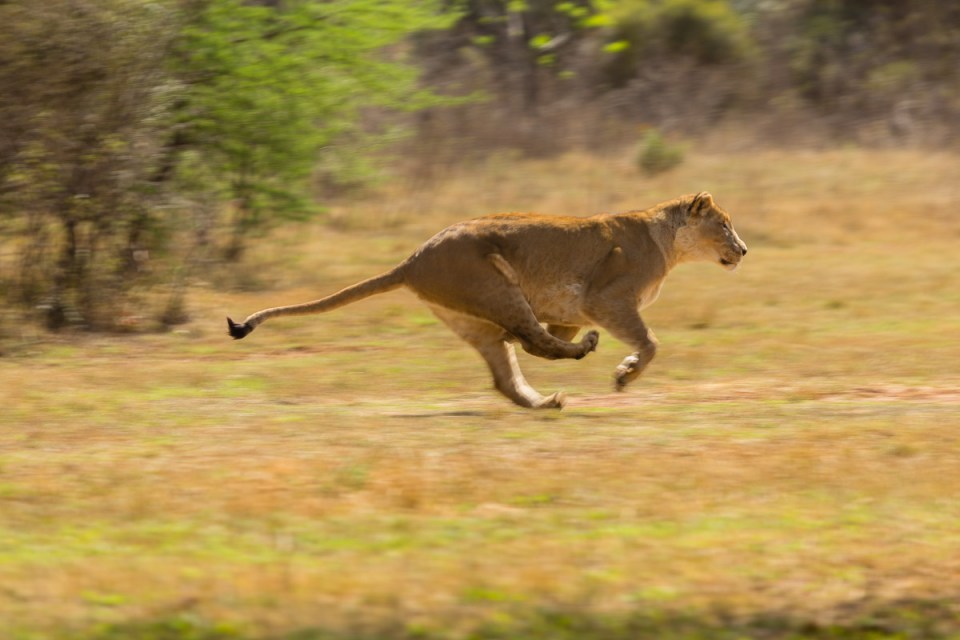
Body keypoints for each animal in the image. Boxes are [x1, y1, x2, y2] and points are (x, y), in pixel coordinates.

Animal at [227, 192, 747, 408]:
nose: (743, 250)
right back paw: (584, 353)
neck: (667, 239)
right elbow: (651, 342)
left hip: (475, 317)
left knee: (508, 370)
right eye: (724, 224)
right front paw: (625, 375)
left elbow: (560, 330)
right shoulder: (606, 300)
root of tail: (412, 261)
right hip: (496, 284)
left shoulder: (572, 308)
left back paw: (546, 402)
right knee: (532, 342)